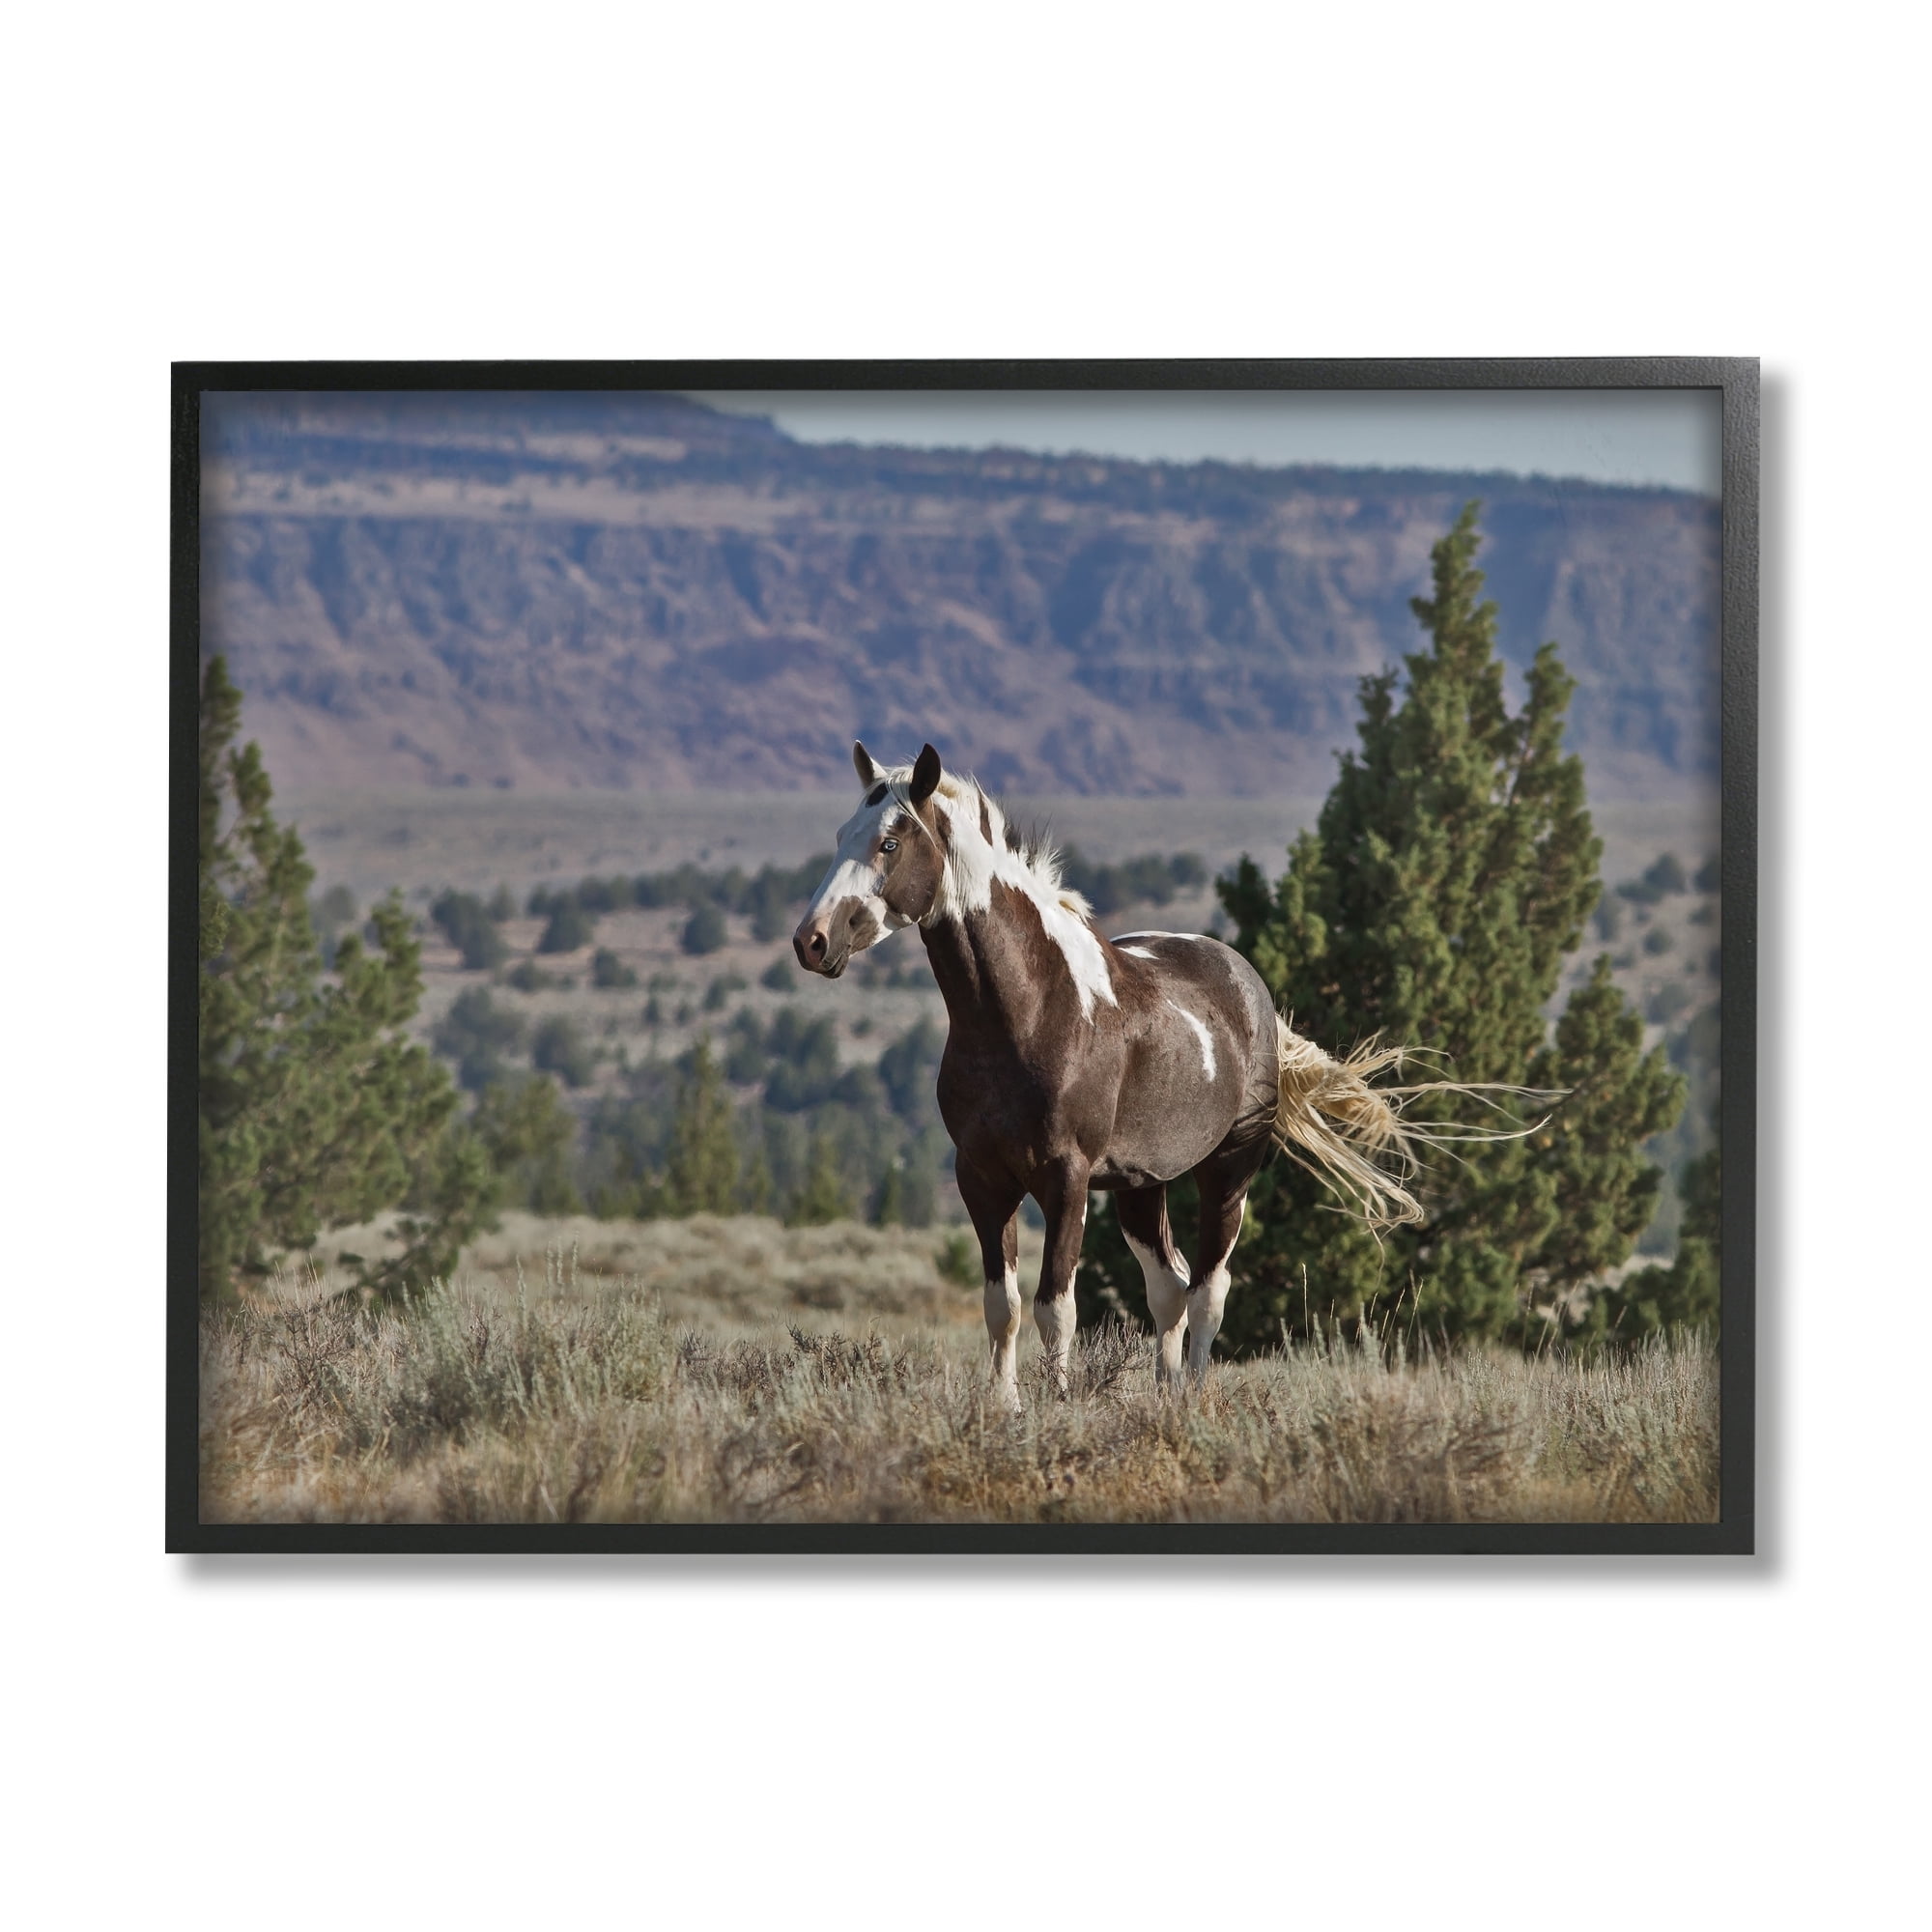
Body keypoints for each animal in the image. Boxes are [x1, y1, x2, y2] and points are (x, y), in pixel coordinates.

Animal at [792, 740, 1457, 1410]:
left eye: (890, 842)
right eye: (842, 834)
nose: (812, 942)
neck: (1031, 1010)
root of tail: (1253, 992)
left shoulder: (1066, 1179)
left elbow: (1056, 1308)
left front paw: (1058, 1405)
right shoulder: (982, 1178)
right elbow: (1002, 1306)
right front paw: (1006, 1407)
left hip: (1229, 1170)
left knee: (1209, 1290)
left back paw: (1193, 1396)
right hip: (1143, 1185)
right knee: (1170, 1286)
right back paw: (1166, 1392)